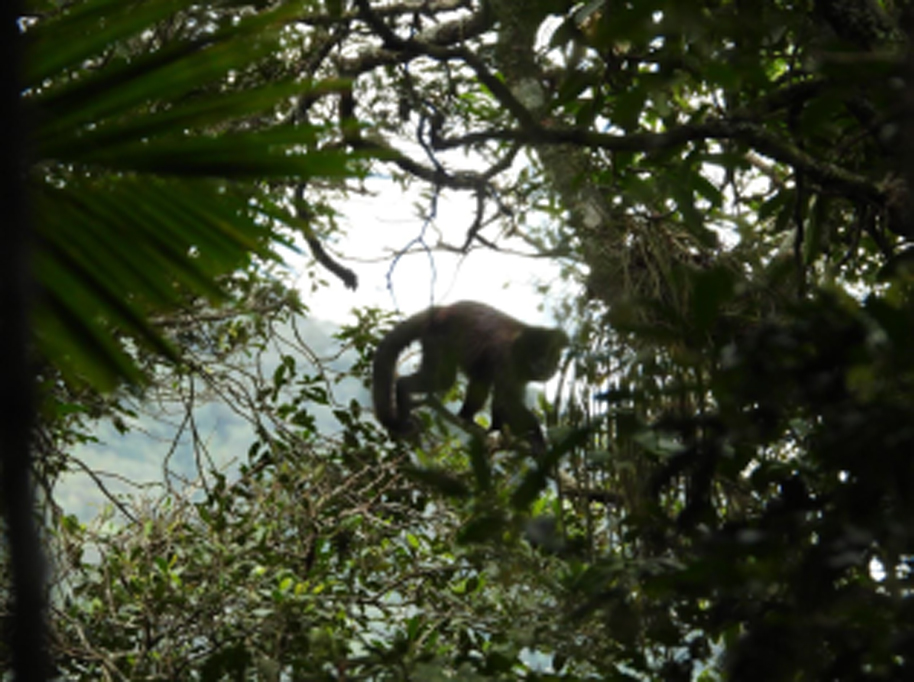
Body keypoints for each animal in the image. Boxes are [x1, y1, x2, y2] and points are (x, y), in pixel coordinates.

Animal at [368, 302, 568, 452]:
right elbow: (506, 402)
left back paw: (466, 417)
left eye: (550, 357)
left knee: (480, 377)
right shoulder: (507, 358)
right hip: (437, 338)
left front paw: (499, 429)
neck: (520, 346)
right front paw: (537, 439)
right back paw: (403, 389)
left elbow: (501, 403)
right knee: (443, 379)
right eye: (538, 356)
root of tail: (440, 310)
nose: (545, 367)